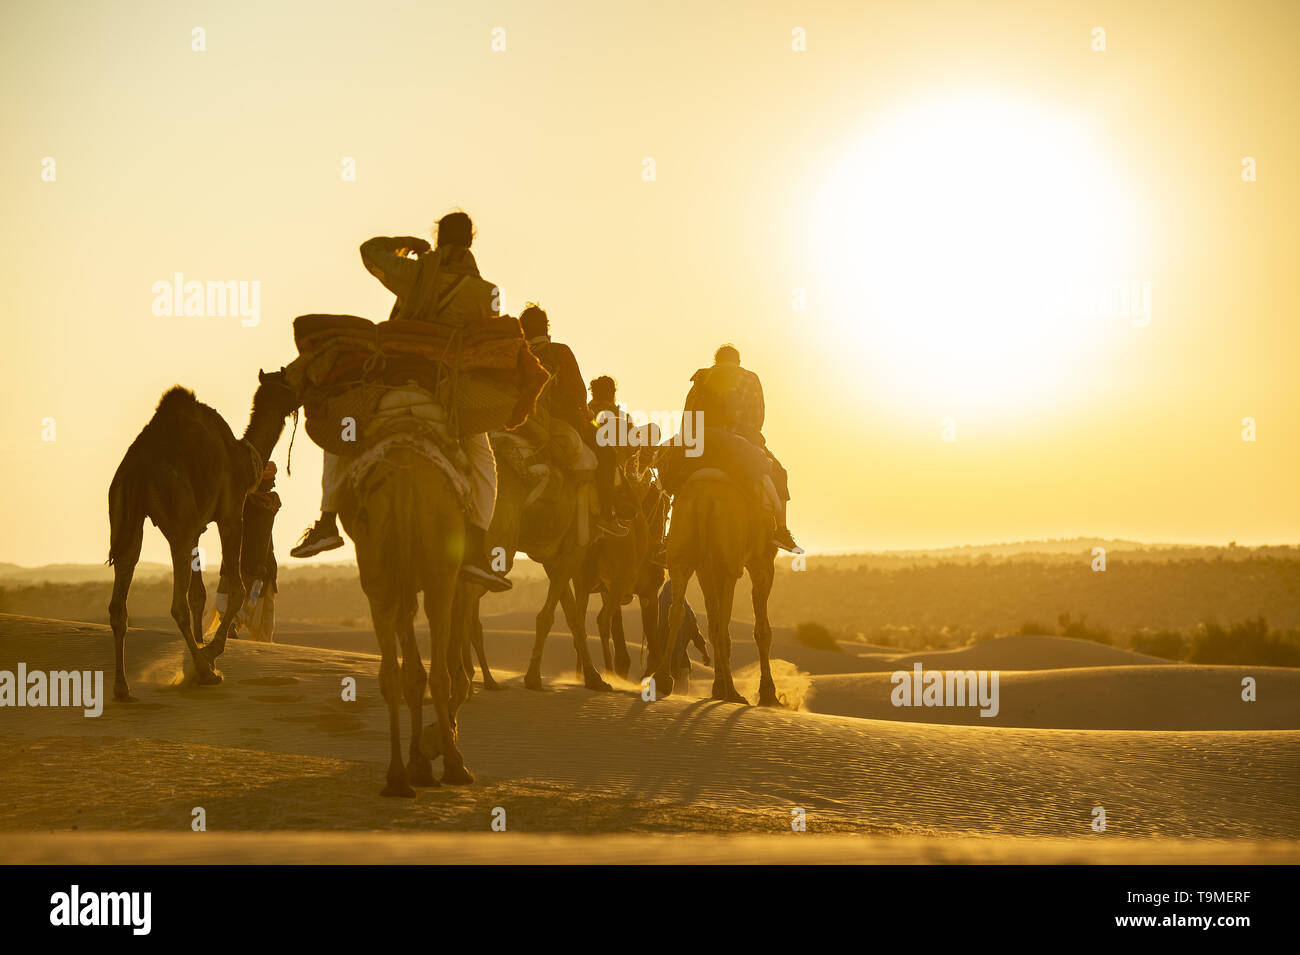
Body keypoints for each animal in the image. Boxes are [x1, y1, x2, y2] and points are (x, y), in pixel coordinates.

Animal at [106, 371, 299, 701]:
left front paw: (202, 649)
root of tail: (136, 468)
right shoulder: (231, 513)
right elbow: (236, 590)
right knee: (177, 605)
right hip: (177, 520)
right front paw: (210, 654)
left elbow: (199, 596)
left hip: (127, 518)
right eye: (285, 382)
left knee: (122, 593)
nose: (302, 392)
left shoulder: (197, 528)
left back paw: (122, 687)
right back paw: (205, 672)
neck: (243, 457)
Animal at [338, 444, 475, 795]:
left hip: (378, 564)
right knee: (440, 669)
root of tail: (403, 478)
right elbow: (456, 673)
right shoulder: (461, 578)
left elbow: (413, 673)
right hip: (440, 567)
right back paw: (455, 767)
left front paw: (420, 762)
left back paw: (398, 777)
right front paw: (434, 746)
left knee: (392, 669)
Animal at [647, 472, 774, 712]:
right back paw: (733, 693)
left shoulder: (705, 568)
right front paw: (769, 693)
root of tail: (703, 502)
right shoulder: (762, 564)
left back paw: (663, 678)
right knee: (723, 627)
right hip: (727, 564)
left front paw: (718, 687)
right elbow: (762, 631)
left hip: (683, 551)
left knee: (678, 611)